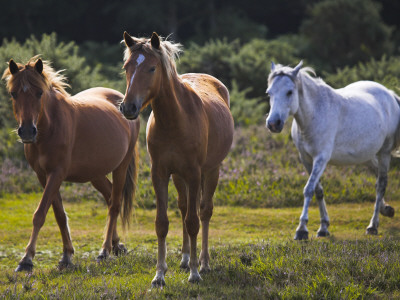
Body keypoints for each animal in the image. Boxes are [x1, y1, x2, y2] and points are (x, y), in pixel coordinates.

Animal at [2, 56, 140, 272]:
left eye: (39, 92)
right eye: (13, 93)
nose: (27, 132)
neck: (49, 127)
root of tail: (121, 99)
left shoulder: (56, 174)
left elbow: (40, 214)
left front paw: (26, 260)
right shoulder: (43, 176)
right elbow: (59, 214)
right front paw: (66, 256)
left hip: (121, 167)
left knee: (115, 204)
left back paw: (105, 251)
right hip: (96, 174)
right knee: (110, 196)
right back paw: (117, 245)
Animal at [122, 32, 234, 286]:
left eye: (152, 68)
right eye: (127, 67)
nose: (128, 107)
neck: (176, 119)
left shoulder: (194, 174)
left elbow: (194, 222)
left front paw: (195, 273)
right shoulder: (161, 173)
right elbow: (162, 223)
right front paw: (159, 274)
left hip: (211, 171)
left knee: (204, 212)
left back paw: (203, 262)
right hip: (179, 177)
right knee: (184, 209)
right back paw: (184, 259)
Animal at [266, 60, 400, 239]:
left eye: (289, 92)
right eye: (269, 93)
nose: (273, 123)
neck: (315, 114)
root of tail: (390, 95)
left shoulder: (321, 158)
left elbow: (308, 189)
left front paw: (302, 230)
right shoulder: (306, 159)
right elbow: (318, 190)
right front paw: (323, 228)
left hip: (384, 152)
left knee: (381, 184)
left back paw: (373, 226)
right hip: (367, 156)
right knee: (377, 176)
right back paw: (387, 210)